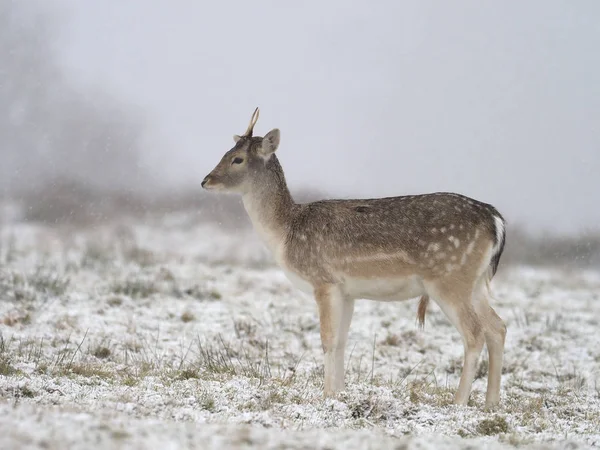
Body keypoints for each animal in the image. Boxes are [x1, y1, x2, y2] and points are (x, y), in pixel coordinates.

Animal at [203, 108, 506, 408]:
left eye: (238, 159)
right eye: (227, 151)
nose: (206, 180)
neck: (285, 234)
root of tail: (495, 220)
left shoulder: (323, 280)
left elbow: (327, 339)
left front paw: (326, 395)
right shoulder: (347, 291)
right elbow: (341, 342)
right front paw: (340, 394)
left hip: (448, 278)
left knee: (474, 333)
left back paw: (459, 402)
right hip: (475, 283)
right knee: (498, 327)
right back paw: (491, 403)